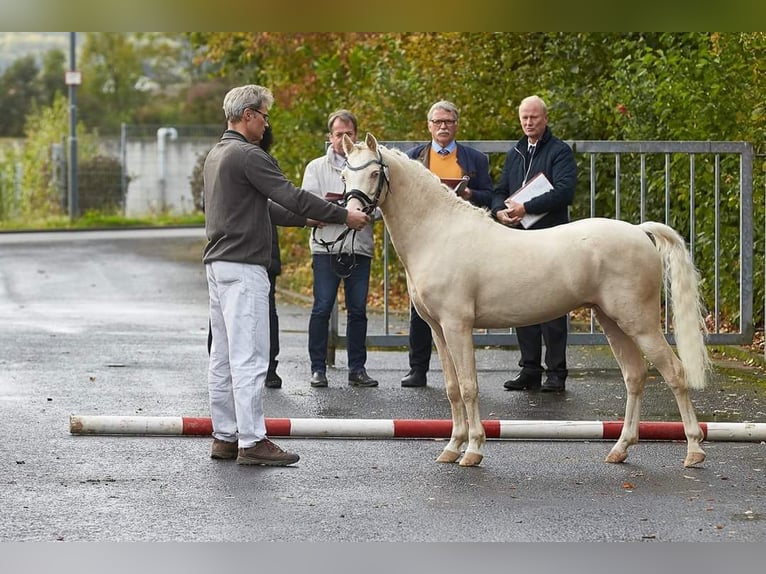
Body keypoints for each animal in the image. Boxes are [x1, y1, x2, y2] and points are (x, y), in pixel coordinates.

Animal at [342, 136, 712, 472]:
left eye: (374, 173)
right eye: (345, 174)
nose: (355, 214)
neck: (438, 234)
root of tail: (639, 231)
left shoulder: (457, 325)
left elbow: (469, 387)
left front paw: (473, 450)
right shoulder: (438, 329)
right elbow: (451, 388)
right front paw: (451, 448)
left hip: (640, 322)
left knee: (675, 372)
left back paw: (694, 451)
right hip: (612, 321)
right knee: (634, 376)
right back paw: (620, 449)